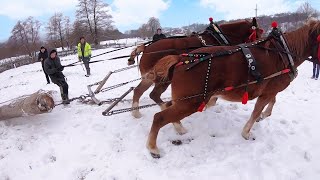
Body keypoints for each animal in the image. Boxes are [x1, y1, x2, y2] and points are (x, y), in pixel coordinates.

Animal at [129, 18, 264, 119]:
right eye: (258, 34)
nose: (260, 47)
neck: (218, 37)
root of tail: (146, 48)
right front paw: (207, 104)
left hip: (149, 77)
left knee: (138, 91)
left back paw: (136, 113)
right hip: (162, 79)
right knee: (154, 94)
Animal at [144, 19, 320, 158]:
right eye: (257, 33)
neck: (282, 53)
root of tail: (180, 58)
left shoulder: (270, 90)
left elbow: (271, 103)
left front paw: (264, 115)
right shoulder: (268, 91)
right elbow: (257, 111)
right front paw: (247, 132)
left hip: (186, 101)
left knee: (167, 106)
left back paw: (178, 127)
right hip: (190, 102)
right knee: (159, 117)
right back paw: (153, 148)